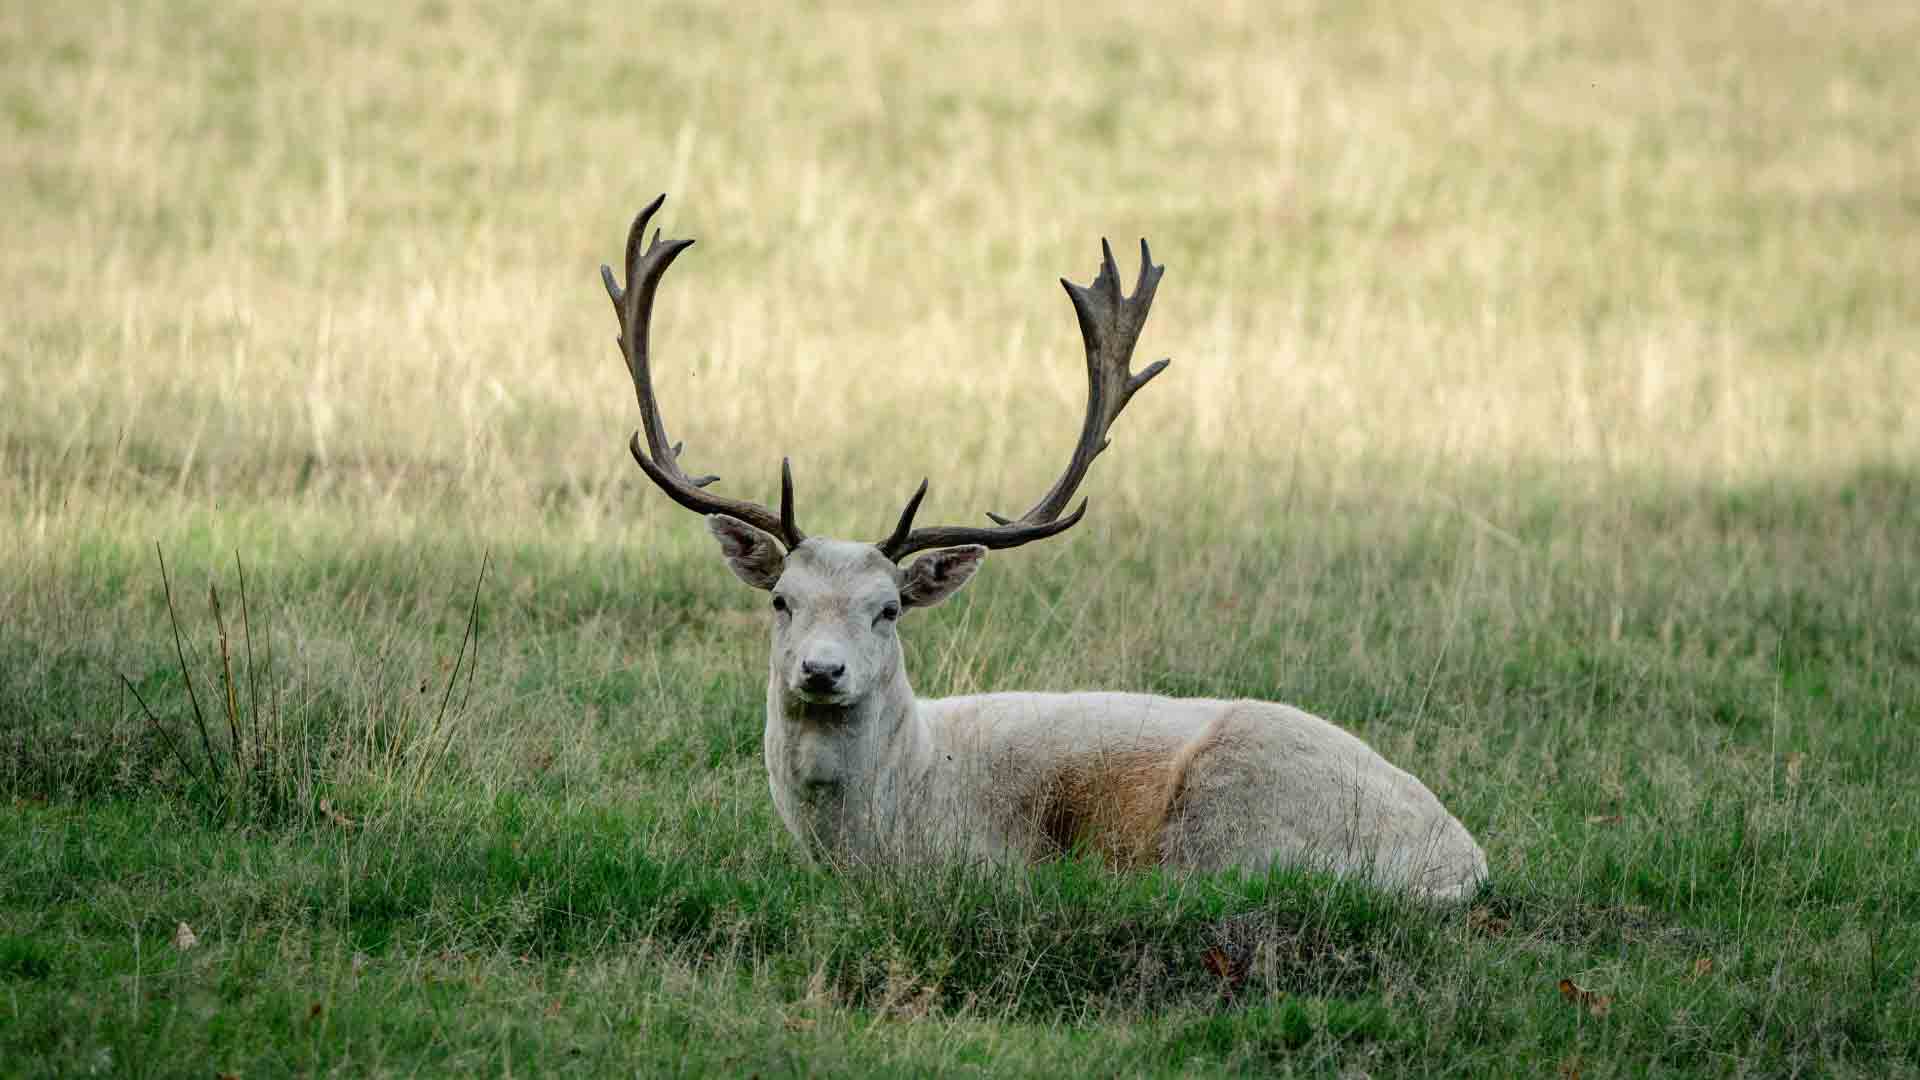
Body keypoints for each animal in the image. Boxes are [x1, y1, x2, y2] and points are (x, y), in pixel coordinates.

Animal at [595, 195, 1482, 899]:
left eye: (888, 611)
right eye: (782, 600)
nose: (821, 671)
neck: (899, 813)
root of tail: (1461, 863)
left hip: (1236, 808)